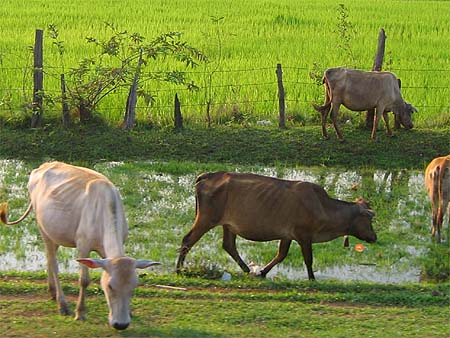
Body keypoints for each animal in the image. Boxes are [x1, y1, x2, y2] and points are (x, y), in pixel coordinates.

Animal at [0, 161, 160, 330]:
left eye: (134, 286)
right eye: (110, 286)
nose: (121, 324)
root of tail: (44, 165)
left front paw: (130, 312)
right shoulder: (83, 246)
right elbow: (84, 280)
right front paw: (80, 312)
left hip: (55, 231)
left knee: (49, 257)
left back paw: (52, 291)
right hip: (42, 227)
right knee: (53, 263)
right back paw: (62, 304)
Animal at [176, 172, 376, 280]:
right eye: (369, 219)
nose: (374, 237)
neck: (323, 207)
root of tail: (207, 176)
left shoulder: (287, 235)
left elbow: (281, 255)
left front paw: (263, 271)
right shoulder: (304, 235)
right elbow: (308, 259)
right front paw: (312, 278)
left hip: (228, 224)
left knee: (229, 245)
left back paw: (247, 269)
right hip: (206, 219)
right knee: (187, 241)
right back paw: (178, 269)